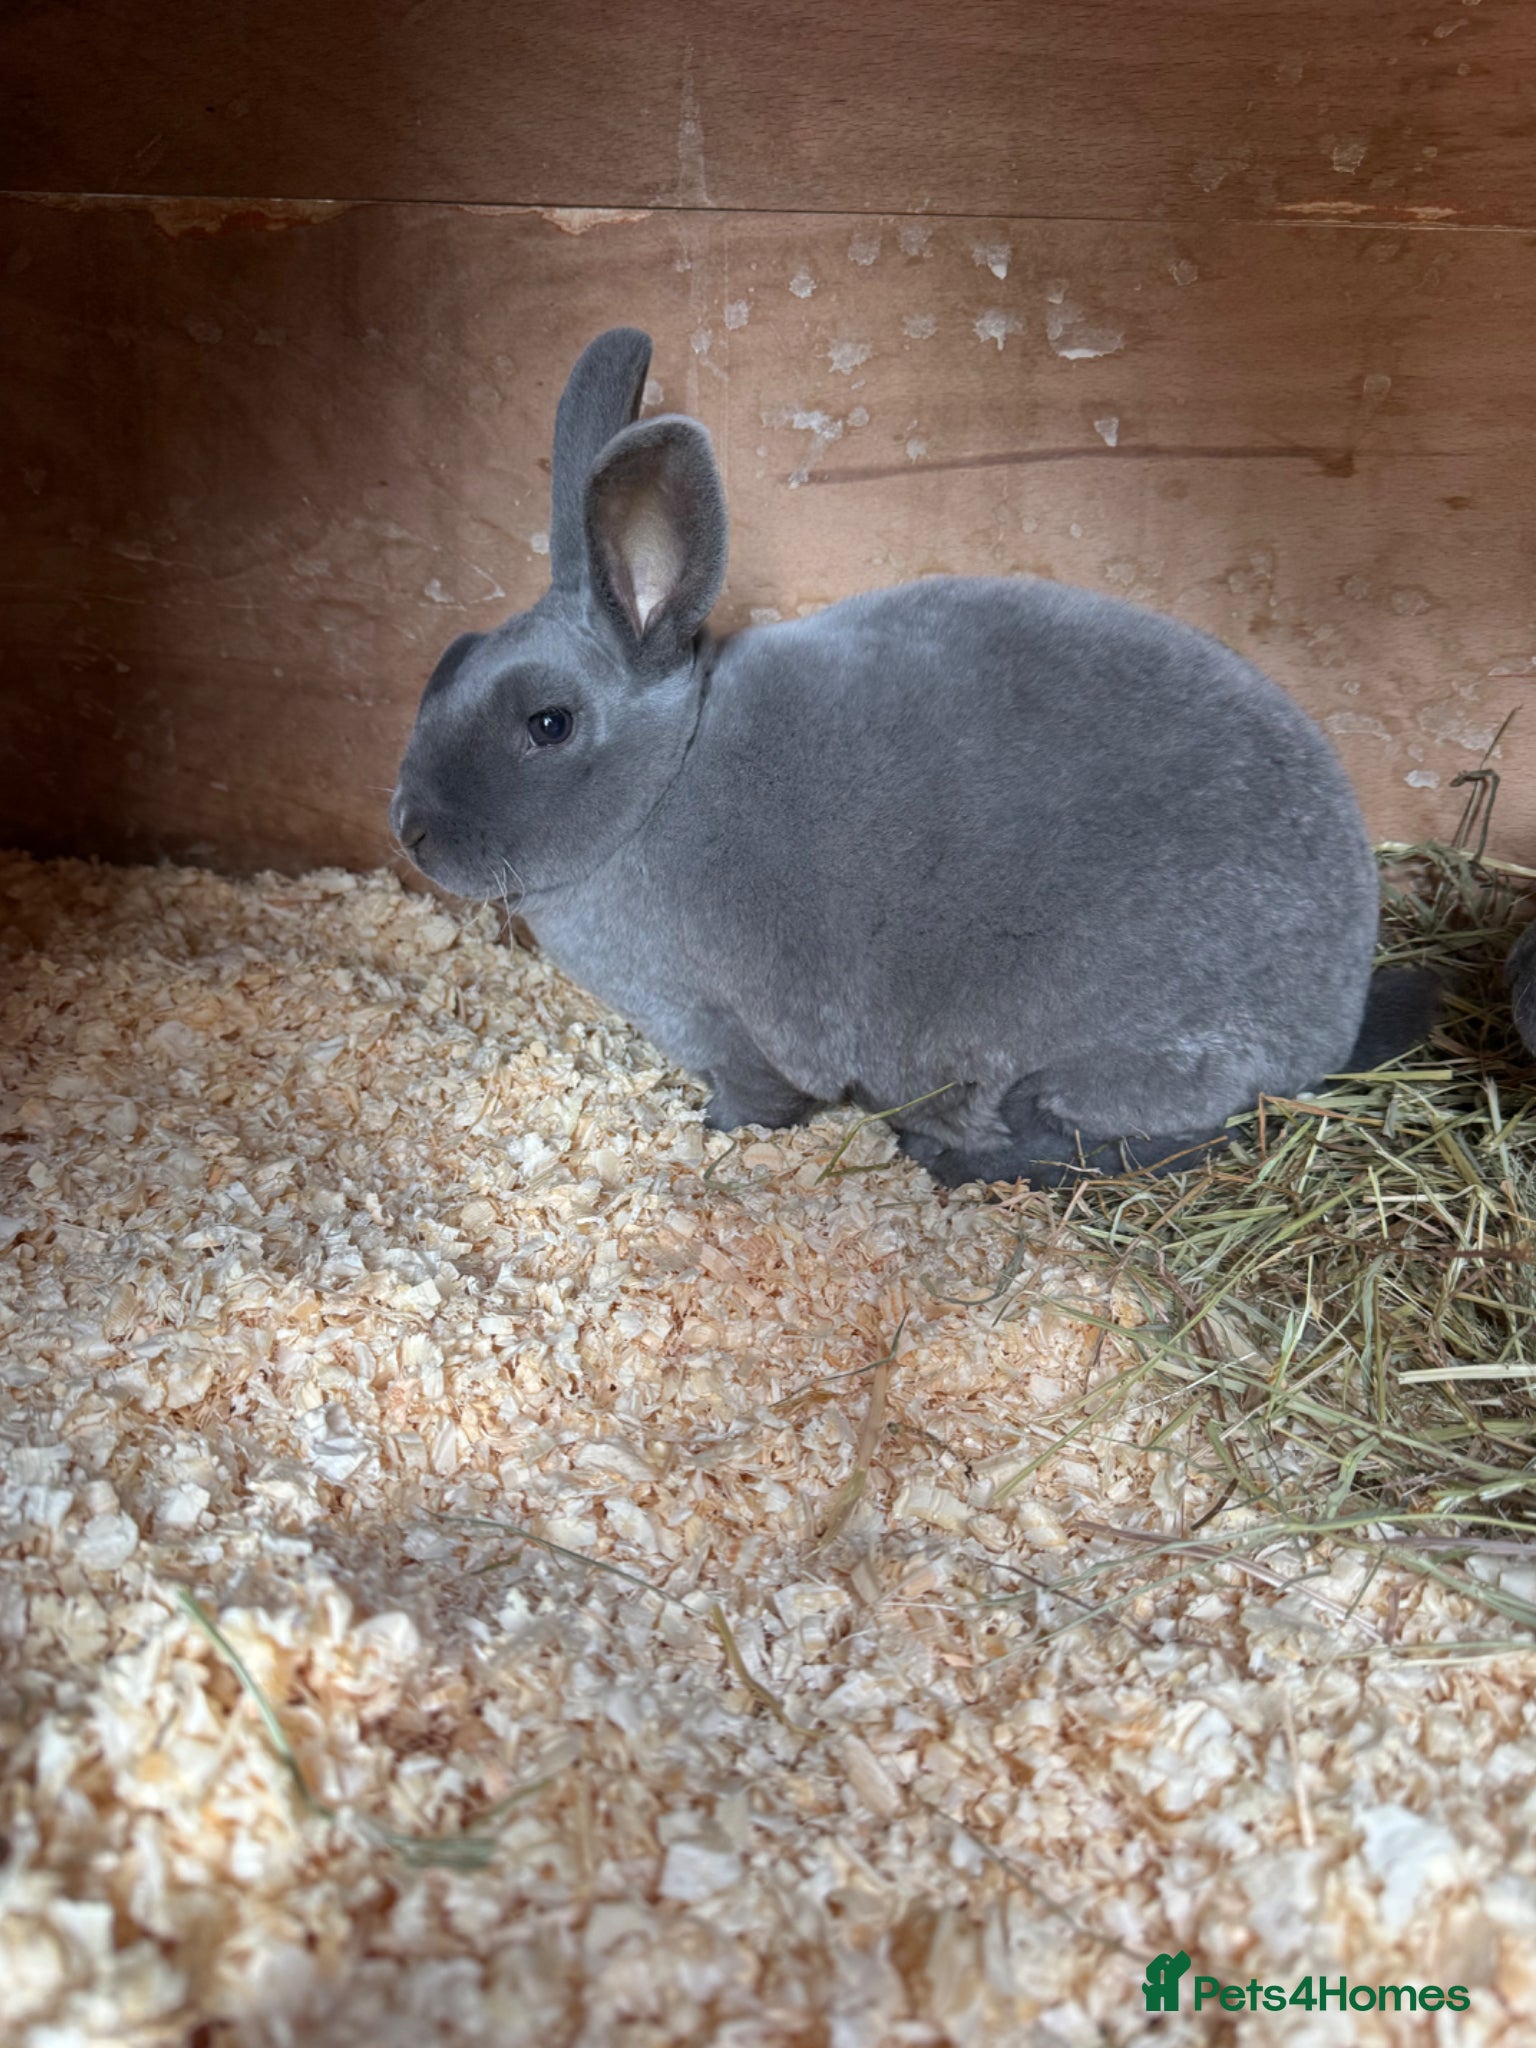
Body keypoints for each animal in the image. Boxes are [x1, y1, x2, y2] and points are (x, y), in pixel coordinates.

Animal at [391, 326, 1436, 1189]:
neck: (665, 782)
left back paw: (950, 1157)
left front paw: (713, 1133)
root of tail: (1335, 1014)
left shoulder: (727, 1024)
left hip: (1102, 1066)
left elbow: (760, 1098)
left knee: (1143, 1144)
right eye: (449, 659)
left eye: (549, 724)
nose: (409, 829)